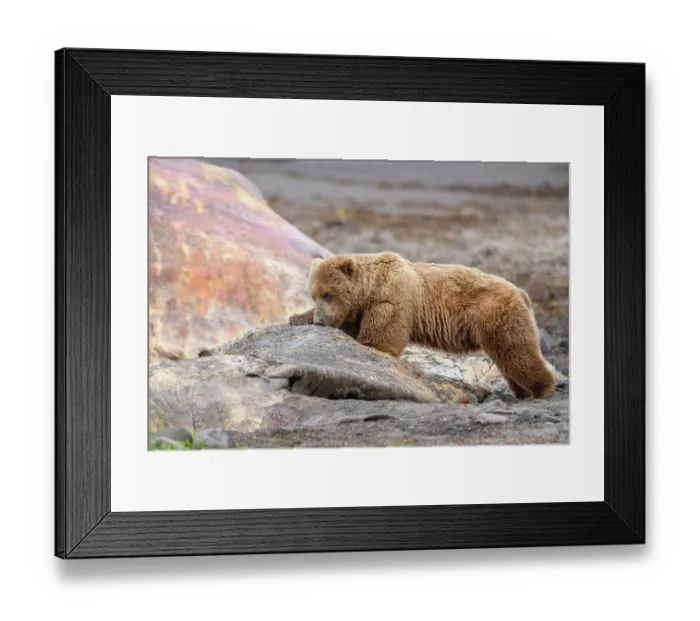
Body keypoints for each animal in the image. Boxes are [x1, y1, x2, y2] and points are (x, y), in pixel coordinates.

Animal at [289, 251, 555, 400]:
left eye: (328, 294)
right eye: (313, 294)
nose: (320, 321)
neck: (369, 290)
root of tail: (521, 291)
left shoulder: (391, 301)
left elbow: (382, 342)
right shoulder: (358, 310)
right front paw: (297, 317)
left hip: (495, 315)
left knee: (516, 352)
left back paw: (541, 388)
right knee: (508, 358)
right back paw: (523, 391)